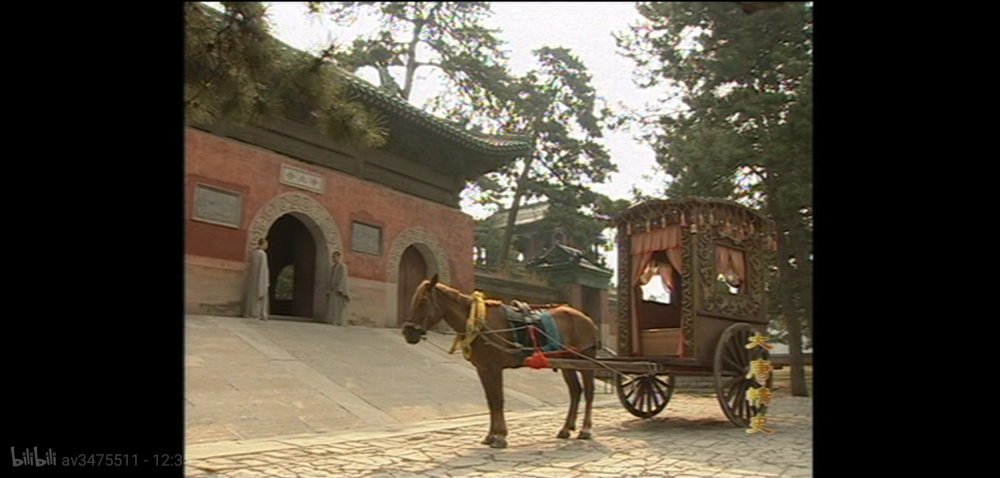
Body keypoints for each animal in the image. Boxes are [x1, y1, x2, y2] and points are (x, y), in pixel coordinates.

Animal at [400, 274, 600, 450]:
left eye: (423, 301)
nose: (408, 332)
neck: (479, 322)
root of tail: (587, 318)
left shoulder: (495, 368)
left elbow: (499, 399)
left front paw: (501, 436)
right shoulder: (483, 369)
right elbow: (491, 400)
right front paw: (490, 435)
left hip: (586, 358)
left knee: (589, 392)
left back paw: (585, 429)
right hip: (568, 361)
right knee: (575, 391)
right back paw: (566, 428)